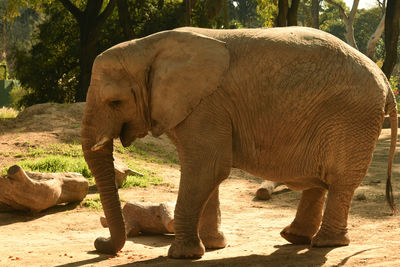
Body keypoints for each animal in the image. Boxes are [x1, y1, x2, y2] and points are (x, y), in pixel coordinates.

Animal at [81, 27, 396, 260]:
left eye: (115, 102)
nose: (99, 242)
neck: (148, 46)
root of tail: (383, 77)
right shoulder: (196, 108)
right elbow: (206, 172)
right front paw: (213, 246)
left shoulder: (206, 105)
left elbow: (207, 168)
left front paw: (182, 255)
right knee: (320, 180)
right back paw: (294, 238)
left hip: (353, 116)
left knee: (340, 180)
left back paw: (326, 243)